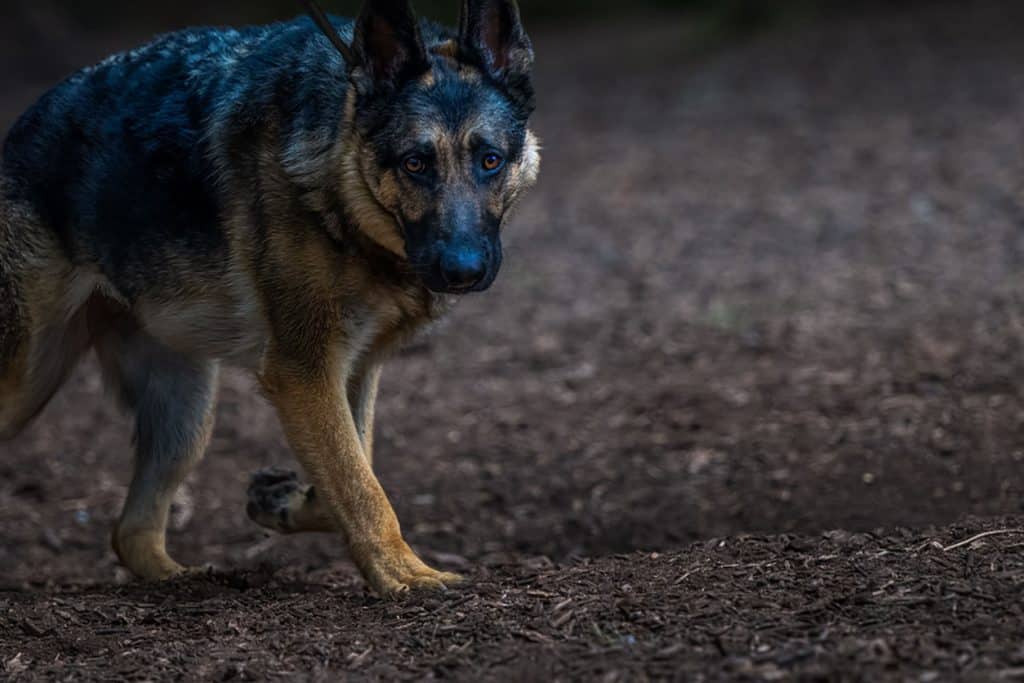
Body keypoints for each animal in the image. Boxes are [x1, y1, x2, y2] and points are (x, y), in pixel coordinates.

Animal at [0, 0, 539, 596]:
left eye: (490, 161)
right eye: (415, 164)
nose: (462, 270)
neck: (336, 191)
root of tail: (17, 133)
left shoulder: (351, 371)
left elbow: (351, 470)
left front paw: (281, 501)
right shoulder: (302, 372)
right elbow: (365, 492)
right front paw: (407, 575)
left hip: (187, 412)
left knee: (130, 532)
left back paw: (181, 579)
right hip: (29, 381)